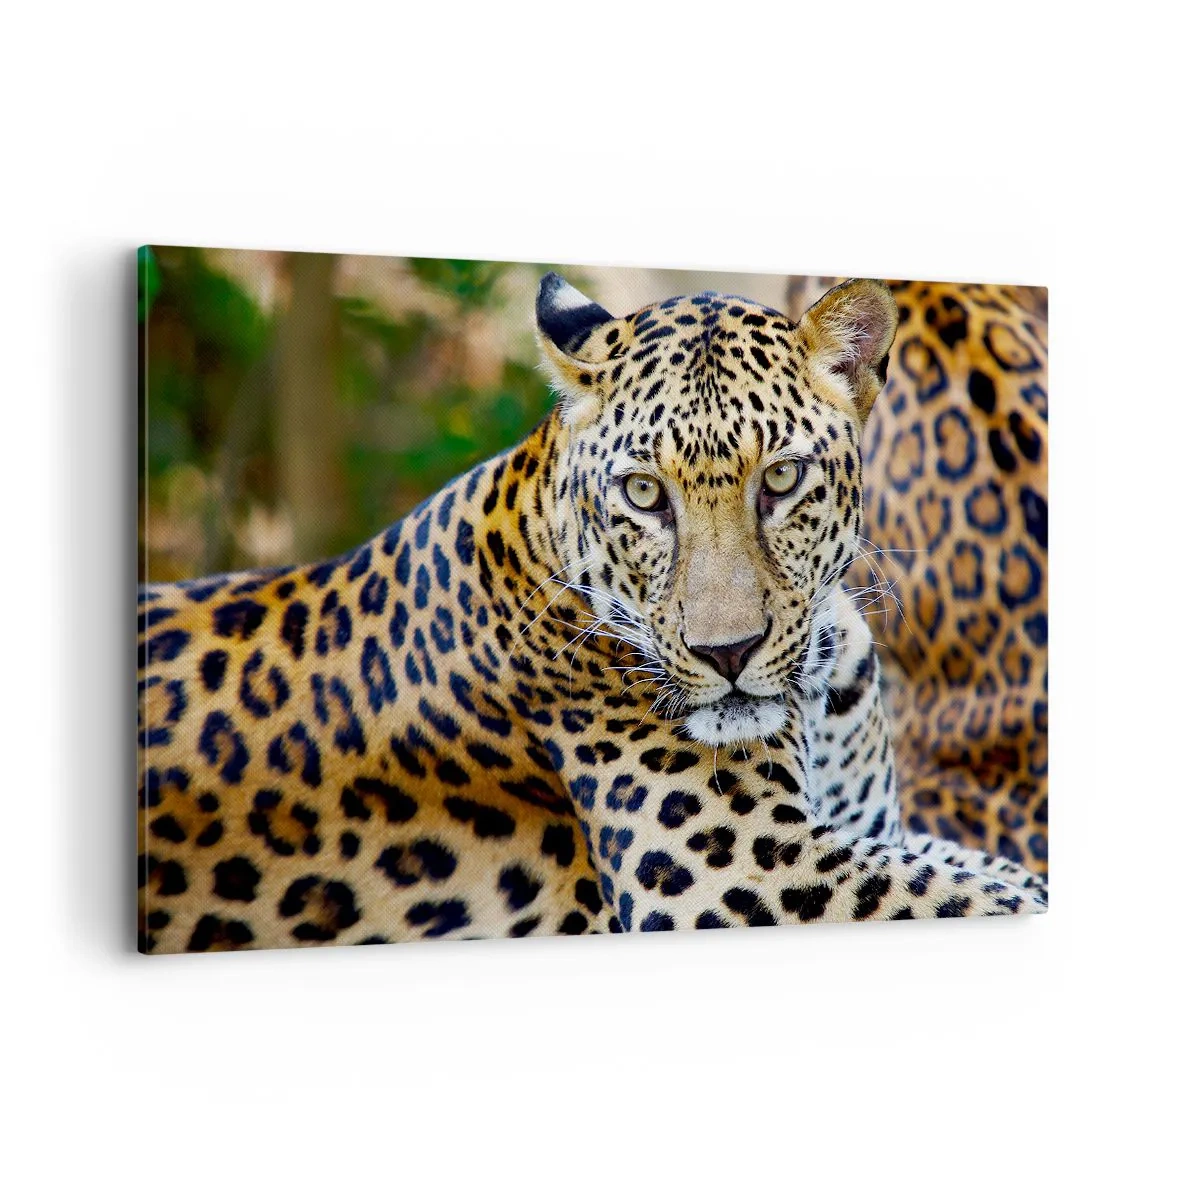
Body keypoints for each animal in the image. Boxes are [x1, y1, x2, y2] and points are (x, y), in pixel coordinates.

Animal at [138, 273, 1047, 952]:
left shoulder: (870, 832)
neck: (821, 684)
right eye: (644, 494)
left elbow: (999, 872)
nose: (727, 653)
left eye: (782, 479)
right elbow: (993, 897)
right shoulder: (753, 877)